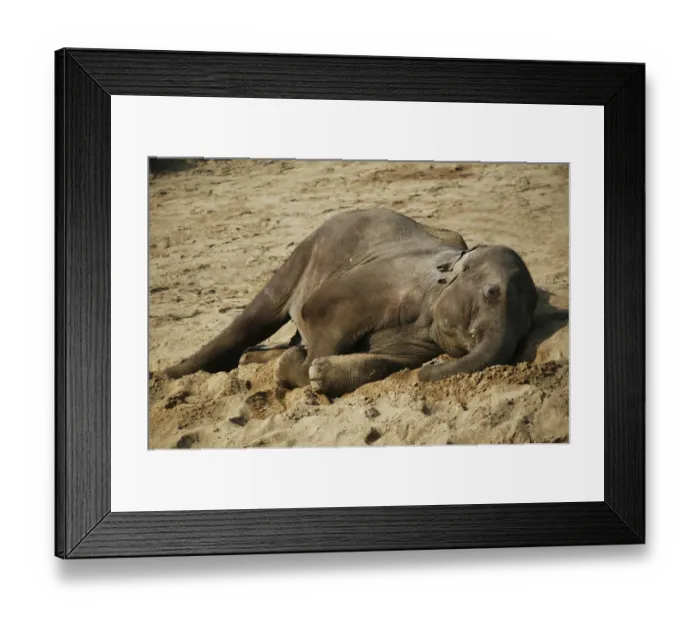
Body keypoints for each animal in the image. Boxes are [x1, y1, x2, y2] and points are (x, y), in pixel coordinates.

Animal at [163, 209, 538, 397]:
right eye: (492, 293)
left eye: (527, 330)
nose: (430, 371)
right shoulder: (380, 285)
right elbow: (318, 312)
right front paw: (303, 368)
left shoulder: (422, 335)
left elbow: (388, 361)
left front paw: (319, 373)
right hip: (307, 251)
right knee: (257, 317)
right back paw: (170, 375)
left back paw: (250, 361)